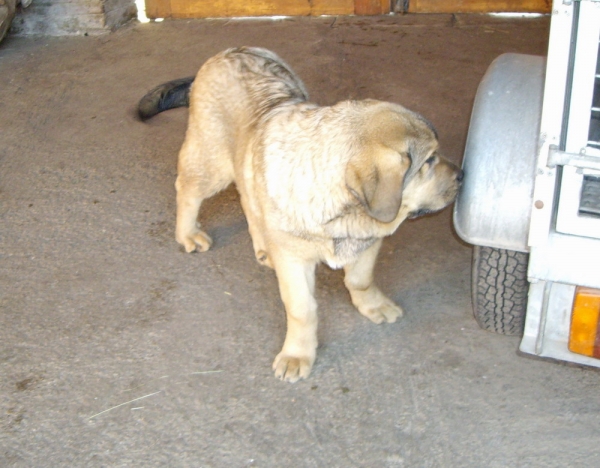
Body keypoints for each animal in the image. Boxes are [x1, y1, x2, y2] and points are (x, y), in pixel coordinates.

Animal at [137, 47, 464, 382]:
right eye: (429, 161)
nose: (462, 175)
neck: (342, 211)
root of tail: (230, 51)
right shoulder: (295, 261)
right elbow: (302, 309)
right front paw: (297, 355)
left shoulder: (367, 242)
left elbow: (360, 280)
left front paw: (373, 305)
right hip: (211, 160)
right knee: (188, 189)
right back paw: (188, 233)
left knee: (248, 199)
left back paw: (263, 246)